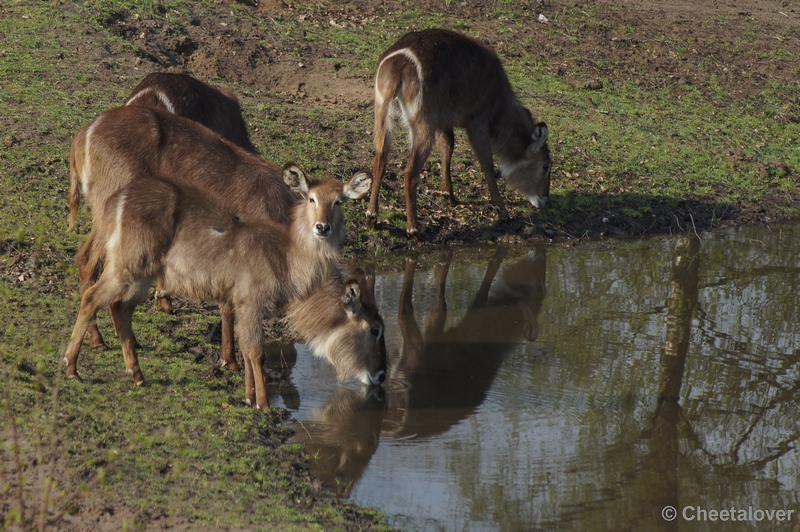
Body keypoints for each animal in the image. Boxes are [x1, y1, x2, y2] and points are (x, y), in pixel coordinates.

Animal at [62, 172, 388, 410]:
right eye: (311, 198)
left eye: (339, 201)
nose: (381, 375)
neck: (285, 257)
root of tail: (116, 199)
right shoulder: (250, 303)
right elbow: (256, 352)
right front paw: (263, 404)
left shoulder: (239, 304)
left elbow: (245, 350)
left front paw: (248, 397)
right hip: (126, 267)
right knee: (91, 297)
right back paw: (71, 368)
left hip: (141, 275)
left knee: (119, 307)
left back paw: (138, 375)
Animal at [68, 104, 368, 370]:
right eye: (368, 328)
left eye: (339, 201)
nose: (323, 227)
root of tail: (83, 133)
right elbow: (228, 308)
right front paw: (231, 361)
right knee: (86, 262)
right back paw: (96, 340)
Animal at [368, 29, 552, 235]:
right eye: (546, 166)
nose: (545, 200)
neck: (499, 103)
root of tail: (399, 63)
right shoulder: (477, 121)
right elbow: (486, 161)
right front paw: (502, 211)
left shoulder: (443, 121)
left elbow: (447, 149)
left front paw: (448, 194)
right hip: (422, 123)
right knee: (410, 173)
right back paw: (413, 228)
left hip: (384, 114)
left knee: (380, 161)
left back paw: (371, 217)